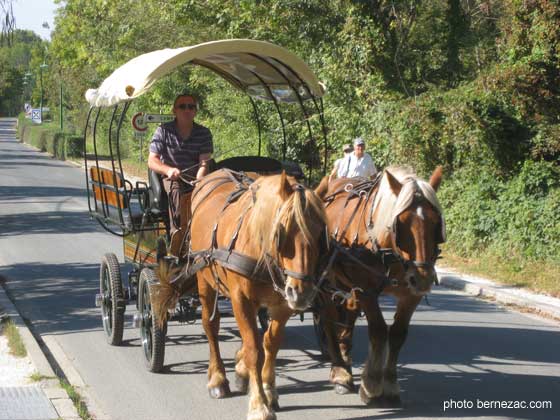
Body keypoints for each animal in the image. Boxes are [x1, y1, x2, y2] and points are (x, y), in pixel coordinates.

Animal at [155, 169, 326, 420]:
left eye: (321, 234)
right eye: (282, 232)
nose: (301, 293)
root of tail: (212, 175)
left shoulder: (282, 305)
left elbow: (270, 343)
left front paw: (267, 389)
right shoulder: (241, 300)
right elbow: (254, 349)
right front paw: (259, 405)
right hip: (204, 279)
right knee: (211, 326)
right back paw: (217, 378)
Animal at [316, 167, 446, 406]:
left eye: (436, 224)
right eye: (400, 223)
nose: (423, 278)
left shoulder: (410, 295)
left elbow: (398, 334)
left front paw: (391, 385)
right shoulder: (366, 290)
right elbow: (378, 331)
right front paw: (372, 385)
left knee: (348, 314)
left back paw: (345, 358)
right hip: (325, 279)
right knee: (328, 318)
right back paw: (339, 372)